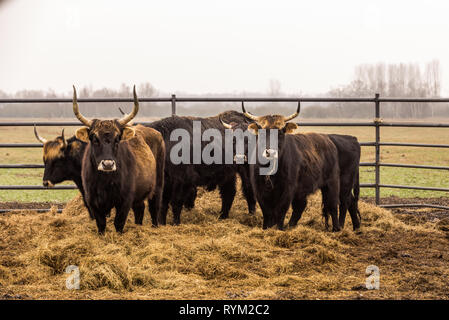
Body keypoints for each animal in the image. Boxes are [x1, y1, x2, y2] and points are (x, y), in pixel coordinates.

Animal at [73, 85, 163, 232]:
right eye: (94, 138)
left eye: (117, 139)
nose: (108, 164)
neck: (105, 181)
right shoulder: (93, 201)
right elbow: (101, 224)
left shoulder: (125, 200)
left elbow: (119, 223)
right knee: (140, 209)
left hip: (158, 185)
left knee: (154, 208)